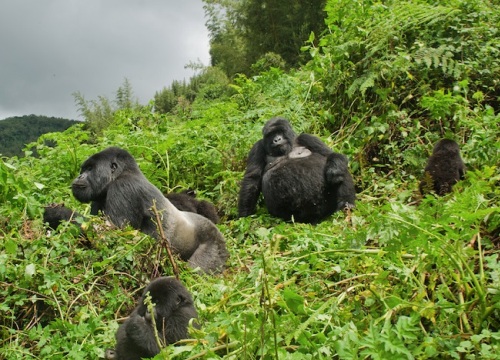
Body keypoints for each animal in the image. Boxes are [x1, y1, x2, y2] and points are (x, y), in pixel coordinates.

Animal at [45, 146, 229, 272]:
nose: (79, 176)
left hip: (215, 242)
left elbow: (113, 239)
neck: (123, 173)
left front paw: (57, 214)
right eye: (83, 169)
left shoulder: (123, 188)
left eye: (90, 169)